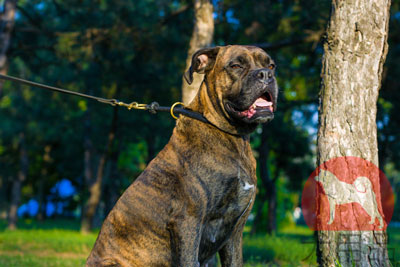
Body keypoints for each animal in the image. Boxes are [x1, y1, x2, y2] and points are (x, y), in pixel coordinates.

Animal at [86, 45, 276, 266]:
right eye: (236, 65)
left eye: (271, 65)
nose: (266, 74)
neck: (233, 137)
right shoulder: (187, 223)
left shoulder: (235, 231)